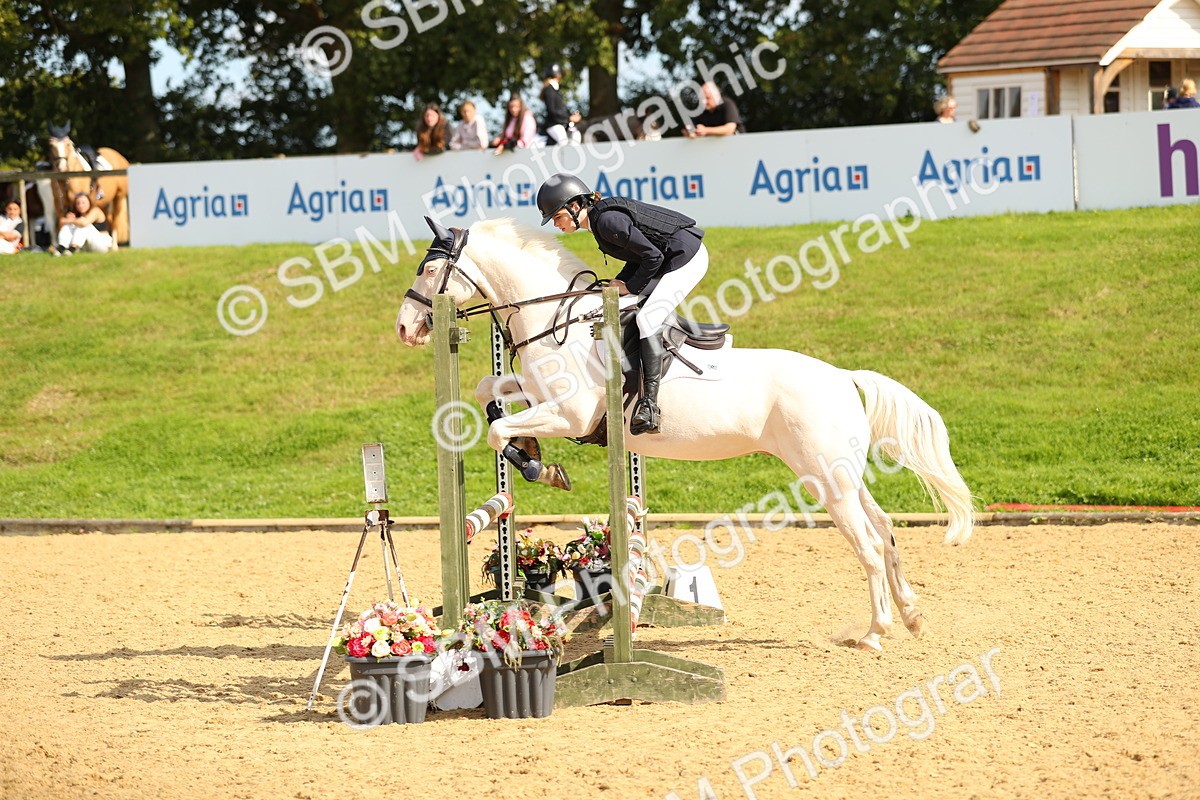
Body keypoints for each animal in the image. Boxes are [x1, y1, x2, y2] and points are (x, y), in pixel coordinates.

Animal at [395, 217, 975, 652]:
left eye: (430, 268)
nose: (405, 328)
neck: (558, 320)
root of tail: (842, 377)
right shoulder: (541, 396)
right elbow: (487, 389)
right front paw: (532, 450)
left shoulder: (571, 415)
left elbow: (500, 431)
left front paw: (541, 465)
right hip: (842, 476)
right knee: (887, 531)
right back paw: (912, 616)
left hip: (824, 480)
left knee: (870, 546)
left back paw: (875, 632)